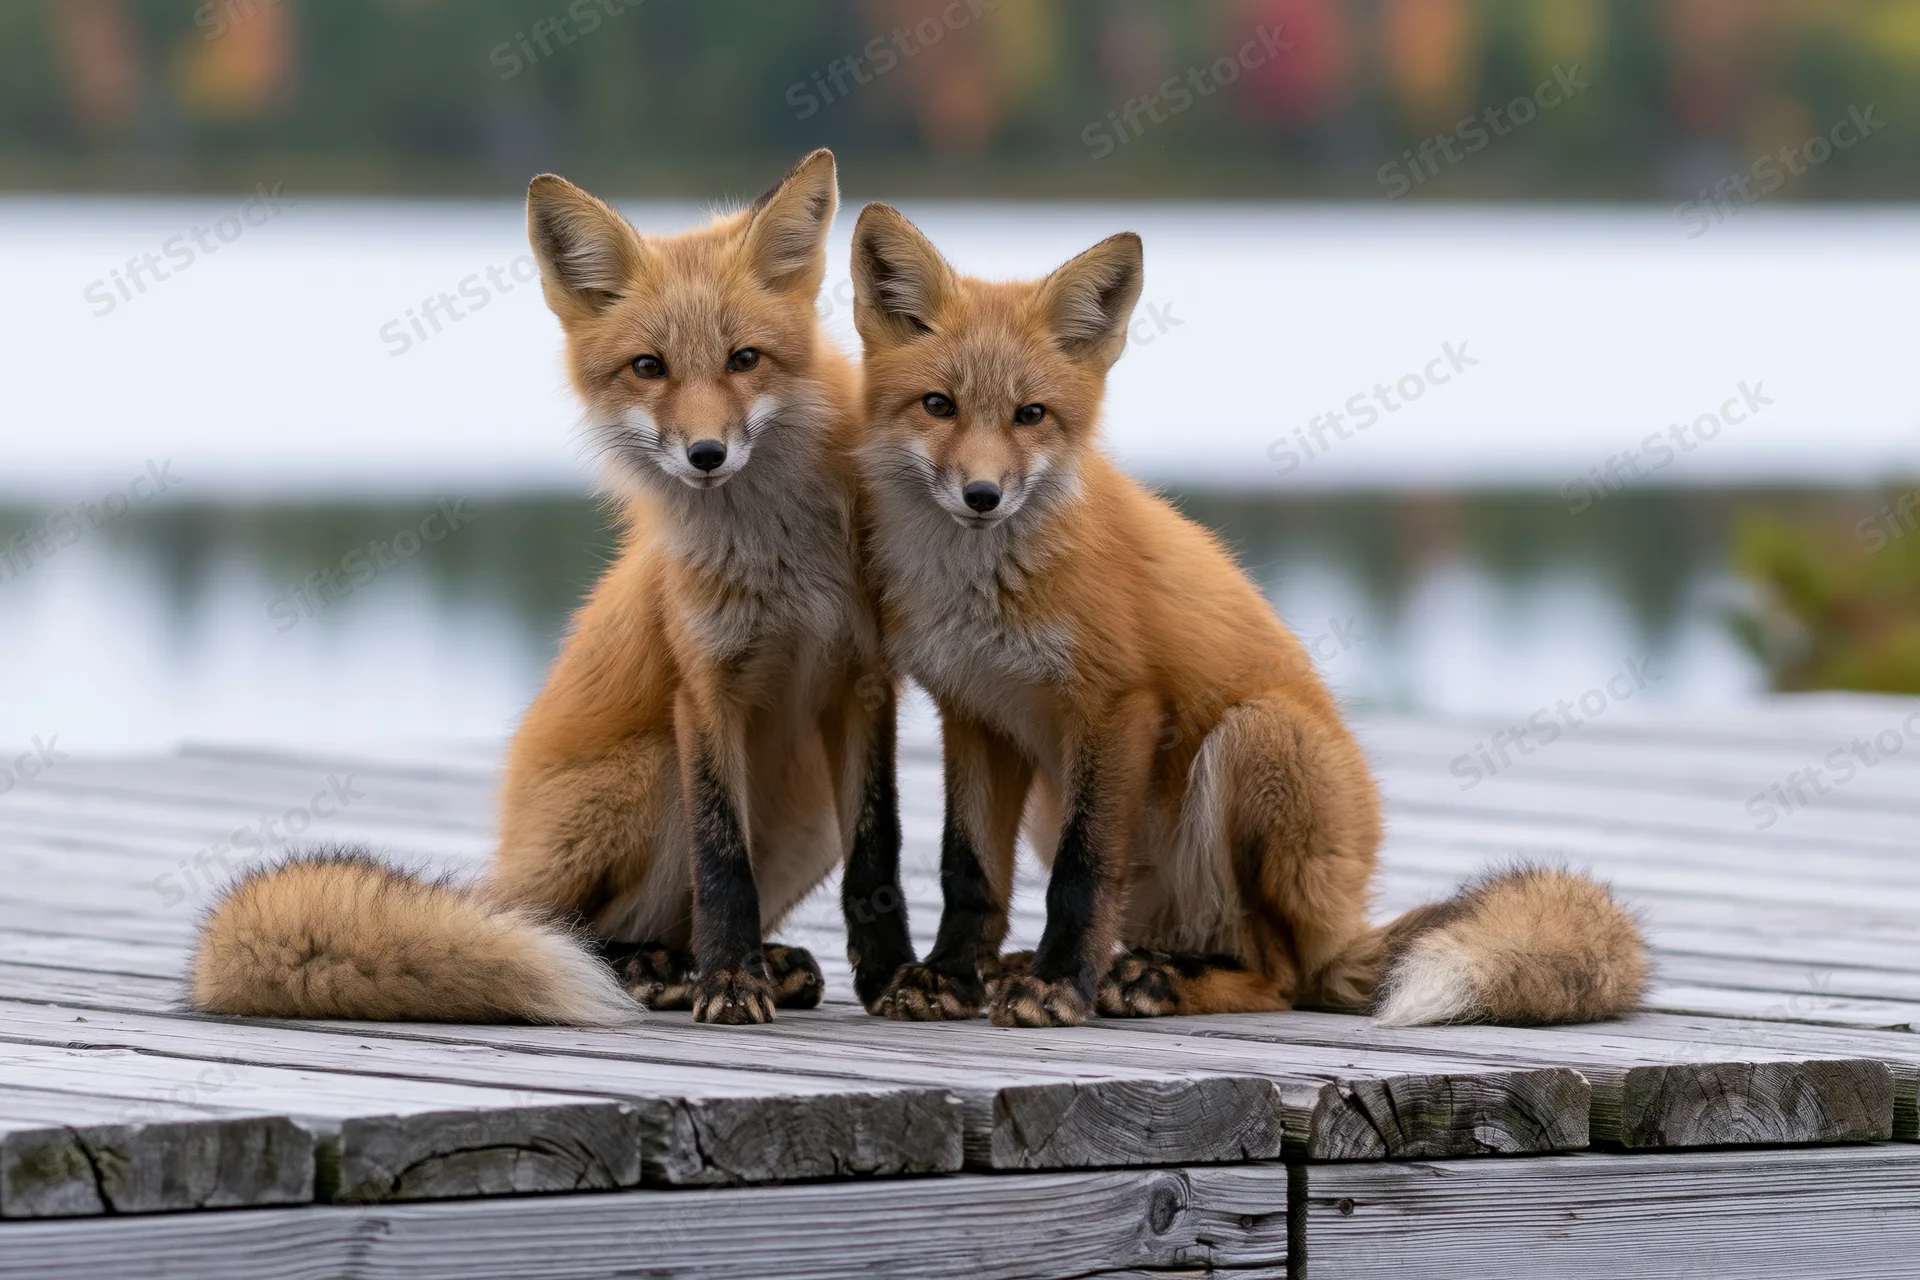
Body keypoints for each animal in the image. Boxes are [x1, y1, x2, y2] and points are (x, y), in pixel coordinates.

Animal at [190, 151, 916, 1027]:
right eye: (649, 368)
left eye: (745, 359)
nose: (706, 454)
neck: (779, 562)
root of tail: (503, 877)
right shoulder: (704, 689)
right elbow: (722, 860)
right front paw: (730, 983)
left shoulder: (864, 679)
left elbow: (878, 855)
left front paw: (899, 978)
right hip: (647, 778)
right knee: (576, 931)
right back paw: (661, 970)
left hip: (805, 813)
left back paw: (745, 965)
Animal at [847, 203, 1649, 1029]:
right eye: (938, 406)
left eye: (1030, 415)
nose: (982, 496)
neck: (983, 590)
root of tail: (1345, 927)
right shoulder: (977, 713)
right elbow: (968, 872)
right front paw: (948, 975)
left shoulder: (1117, 704)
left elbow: (1082, 875)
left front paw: (1057, 985)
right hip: (1072, 816)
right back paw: (1070, 966)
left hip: (1253, 740)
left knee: (1279, 976)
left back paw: (1153, 982)